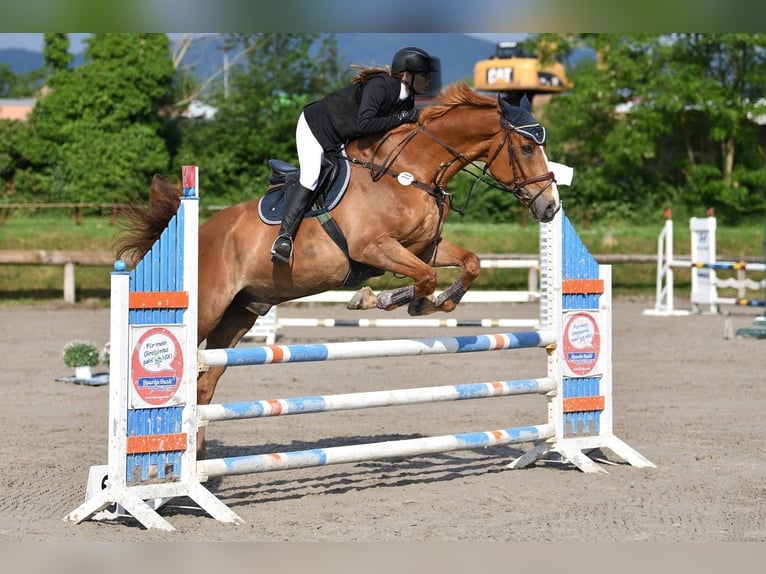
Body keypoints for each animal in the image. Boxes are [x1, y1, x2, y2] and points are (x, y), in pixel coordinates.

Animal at [115, 82, 560, 460]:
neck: (412, 173)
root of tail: (200, 231)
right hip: (208, 308)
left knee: (205, 383)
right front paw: (382, 299)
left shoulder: (424, 249)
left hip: (239, 315)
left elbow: (468, 264)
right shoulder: (375, 248)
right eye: (526, 147)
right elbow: (423, 279)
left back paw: (200, 460)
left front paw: (435, 303)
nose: (550, 207)